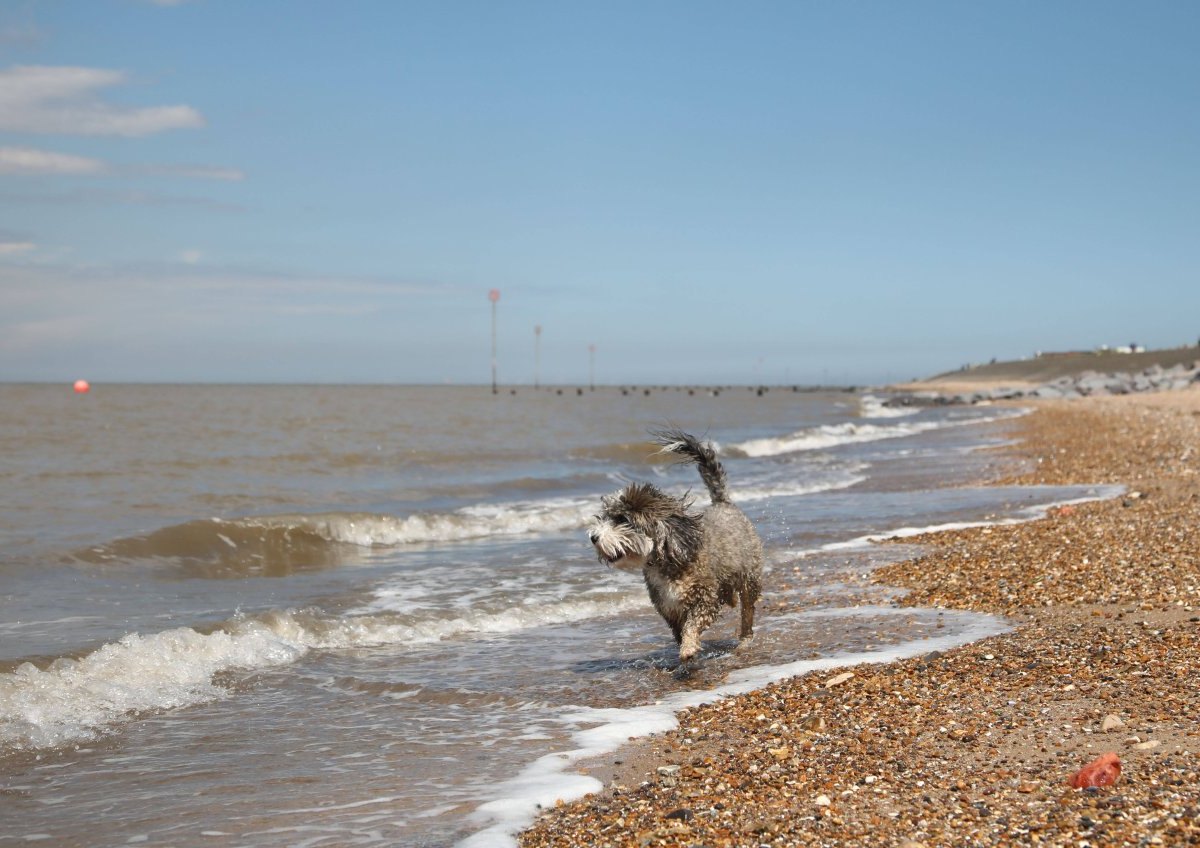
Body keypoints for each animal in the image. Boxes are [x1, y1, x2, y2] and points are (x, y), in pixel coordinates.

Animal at [585, 431, 763, 662]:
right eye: (605, 516)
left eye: (622, 519)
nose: (593, 537)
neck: (667, 554)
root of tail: (722, 503)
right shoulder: (668, 608)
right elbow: (679, 630)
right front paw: (686, 649)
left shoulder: (704, 598)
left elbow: (692, 624)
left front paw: (688, 648)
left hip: (750, 577)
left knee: (747, 610)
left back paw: (745, 640)